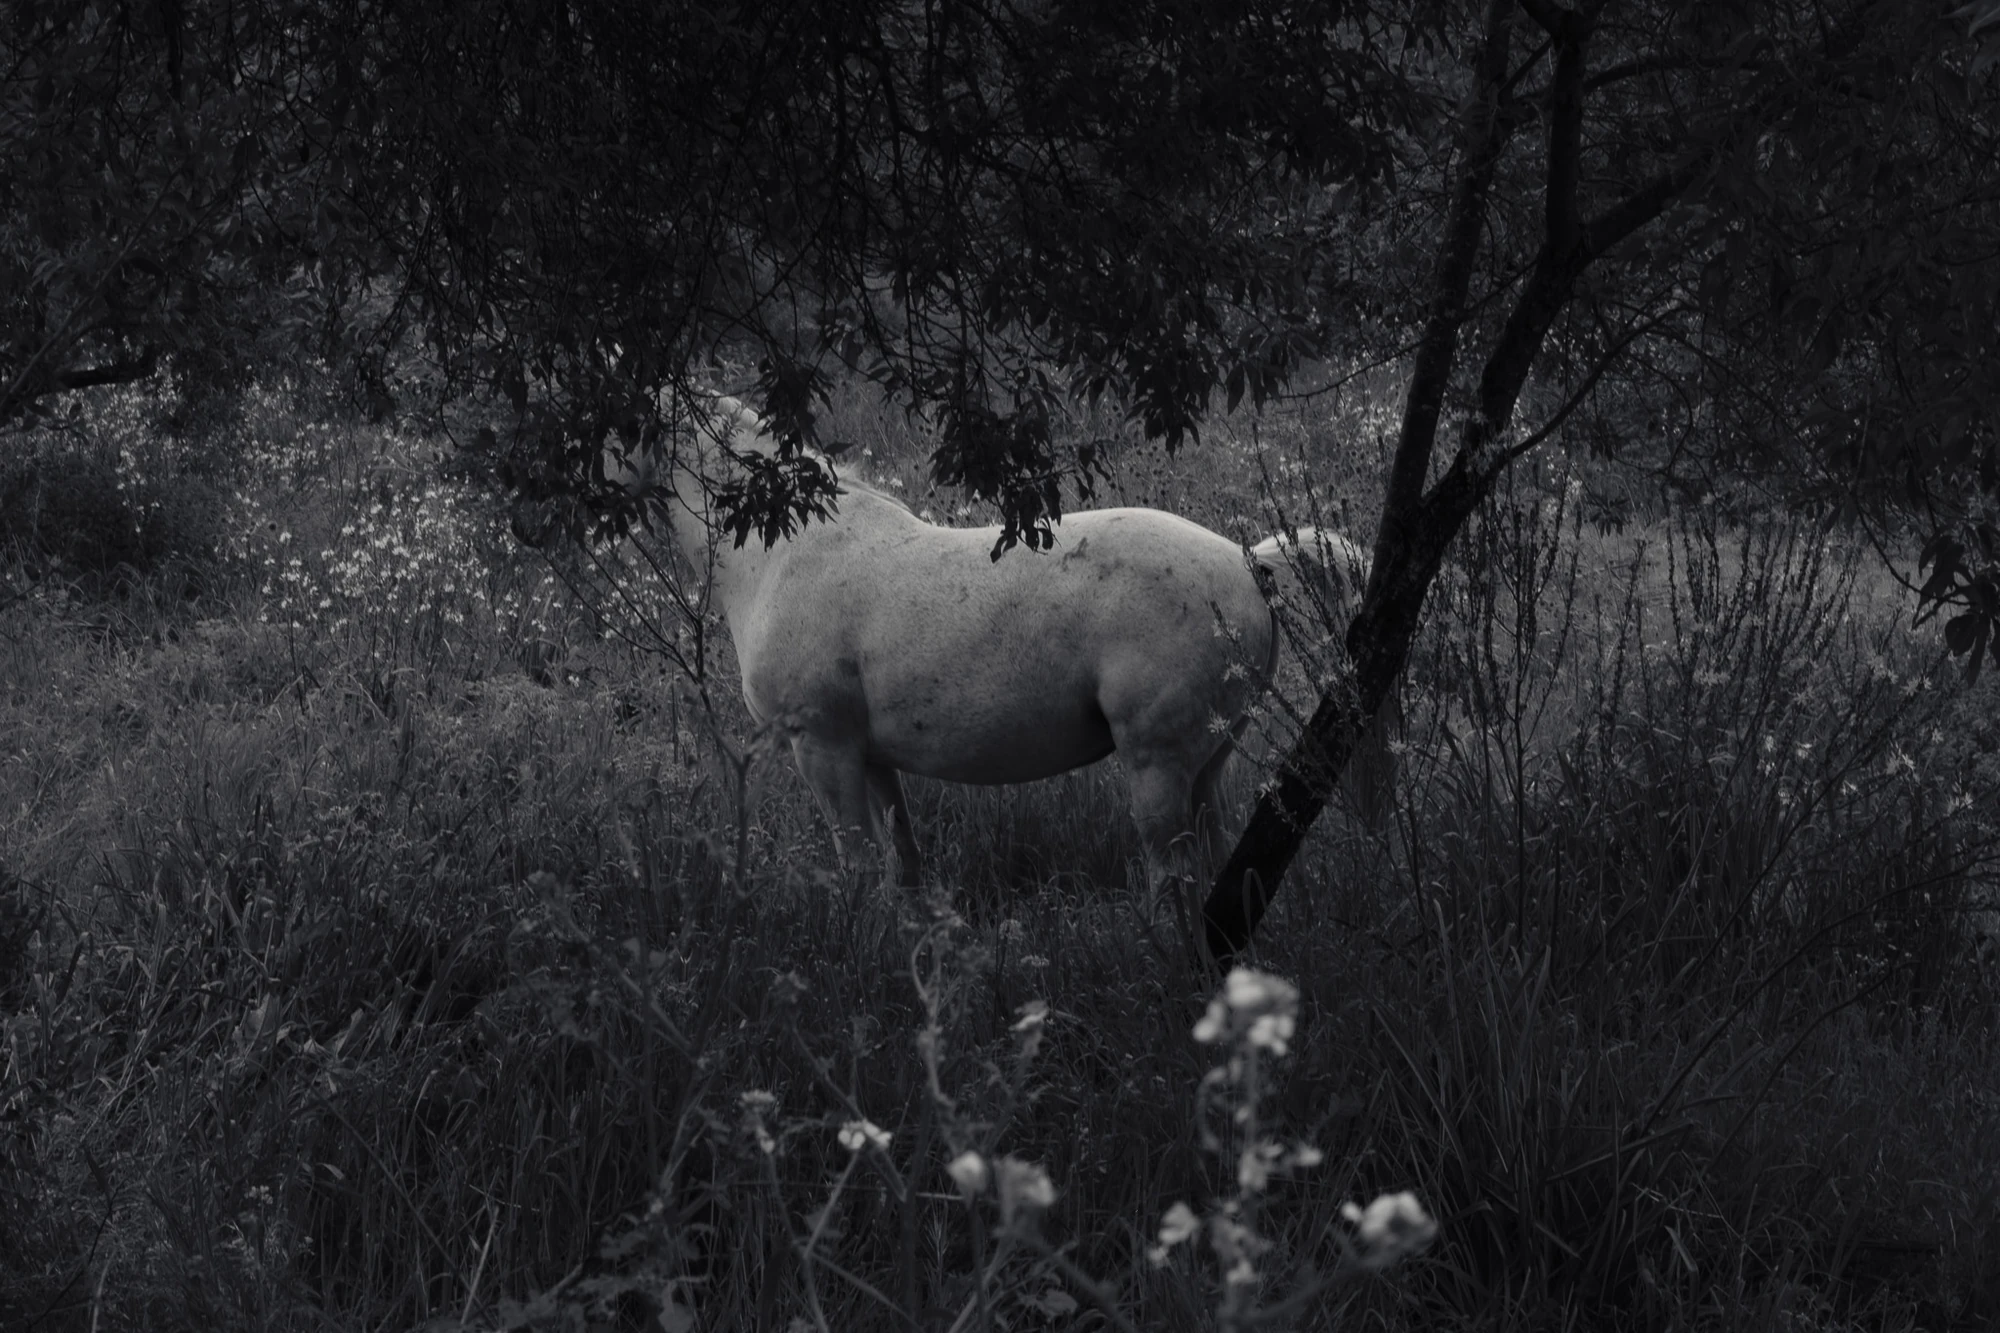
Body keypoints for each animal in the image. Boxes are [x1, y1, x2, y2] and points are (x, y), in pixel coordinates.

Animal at [632, 396, 1383, 894]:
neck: (788, 550)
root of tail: (1246, 563)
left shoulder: (822, 747)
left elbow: (861, 866)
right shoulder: (870, 758)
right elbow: (903, 865)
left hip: (1159, 765)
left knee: (1174, 874)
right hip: (1208, 763)